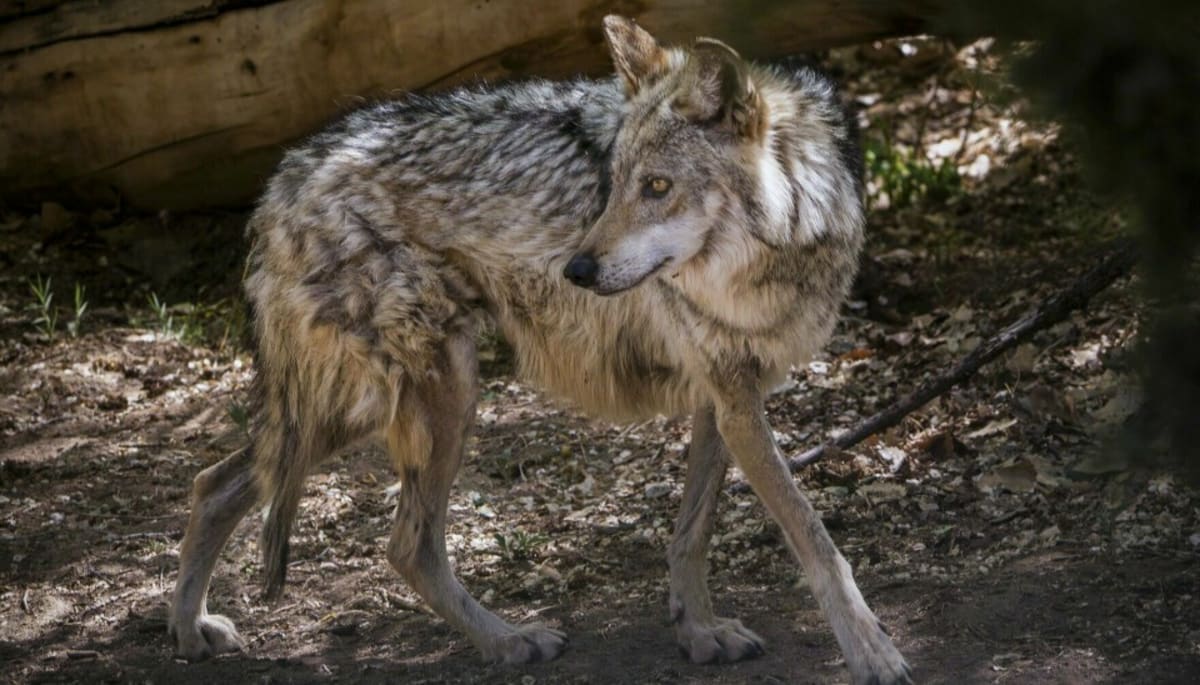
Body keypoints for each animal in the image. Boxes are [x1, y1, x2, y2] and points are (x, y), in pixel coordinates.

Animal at [168, 15, 910, 684]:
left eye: (657, 187)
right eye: (614, 180)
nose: (576, 270)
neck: (778, 250)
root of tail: (287, 174)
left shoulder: (726, 395)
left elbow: (692, 532)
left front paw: (698, 631)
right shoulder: (734, 400)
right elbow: (815, 538)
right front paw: (873, 652)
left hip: (358, 408)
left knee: (216, 482)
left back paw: (188, 630)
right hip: (430, 394)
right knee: (405, 544)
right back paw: (509, 642)